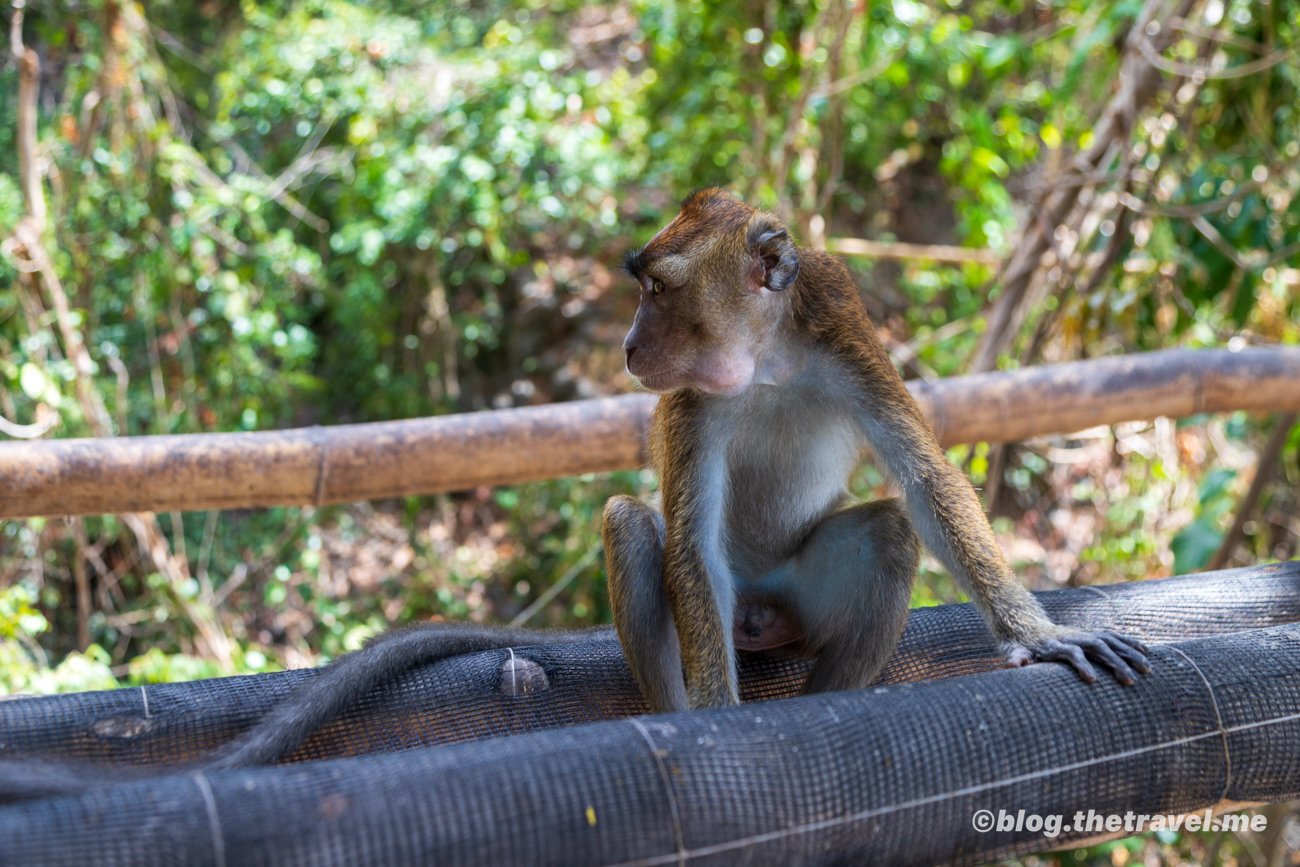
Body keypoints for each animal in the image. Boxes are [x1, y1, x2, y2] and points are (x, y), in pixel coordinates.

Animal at [603, 189, 1154, 712]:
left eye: (658, 289)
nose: (628, 345)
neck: (765, 362)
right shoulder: (692, 403)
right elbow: (694, 544)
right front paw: (716, 710)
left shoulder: (843, 332)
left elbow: (926, 478)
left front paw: (1037, 636)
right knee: (629, 523)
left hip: (798, 606)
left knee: (891, 531)